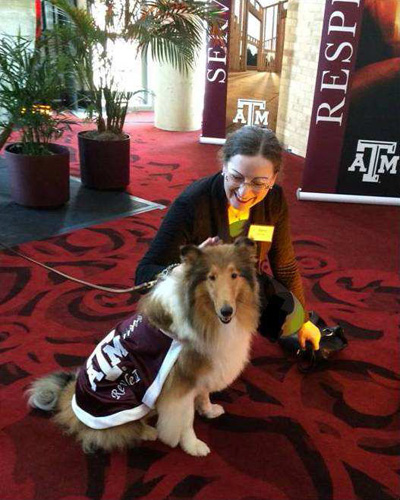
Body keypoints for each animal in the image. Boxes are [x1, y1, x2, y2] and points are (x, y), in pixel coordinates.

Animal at [27, 238, 260, 458]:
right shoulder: (180, 384)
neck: (202, 315)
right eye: (211, 277)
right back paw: (147, 431)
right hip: (127, 400)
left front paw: (209, 411)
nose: (227, 311)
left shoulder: (201, 369)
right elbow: (185, 420)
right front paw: (193, 446)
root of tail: (71, 400)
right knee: (117, 431)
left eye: (234, 275)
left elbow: (203, 394)